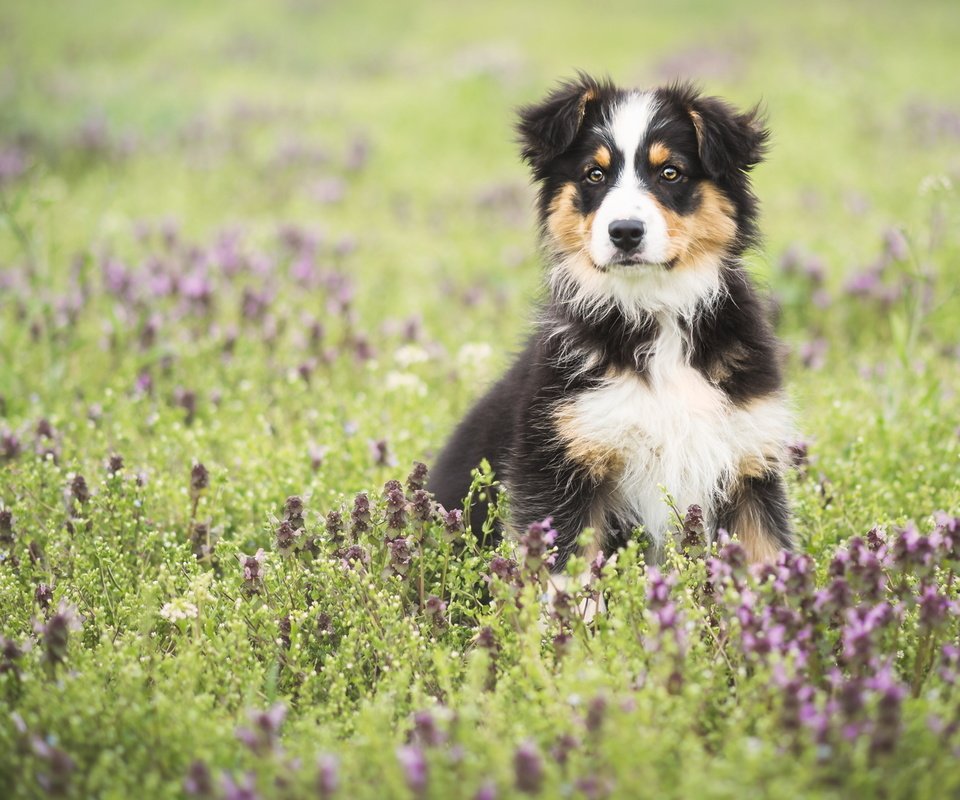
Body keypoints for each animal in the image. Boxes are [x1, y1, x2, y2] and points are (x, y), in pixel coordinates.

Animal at [432, 75, 792, 572]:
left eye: (670, 173)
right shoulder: (561, 464)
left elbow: (770, 557)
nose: (624, 232)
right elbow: (564, 571)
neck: (653, 312)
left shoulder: (748, 459)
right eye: (594, 174)